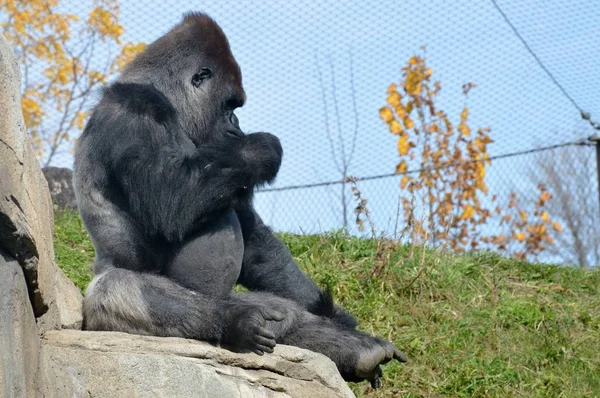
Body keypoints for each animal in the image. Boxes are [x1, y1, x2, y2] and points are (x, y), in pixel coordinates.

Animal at [72, 11, 406, 386]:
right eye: (230, 105)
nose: (235, 120)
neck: (168, 100)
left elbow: (253, 235)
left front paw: (335, 315)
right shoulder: (134, 111)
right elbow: (170, 203)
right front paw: (260, 148)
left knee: (281, 310)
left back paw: (355, 348)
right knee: (116, 288)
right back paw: (236, 322)